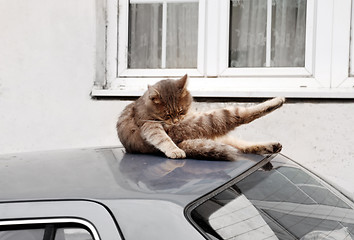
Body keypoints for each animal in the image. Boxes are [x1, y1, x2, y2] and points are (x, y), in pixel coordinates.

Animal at [117, 74, 284, 161]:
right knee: (240, 115)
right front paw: (174, 151)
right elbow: (161, 138)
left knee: (241, 146)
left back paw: (270, 146)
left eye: (181, 111)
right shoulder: (148, 124)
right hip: (209, 119)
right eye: (168, 115)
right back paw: (277, 101)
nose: (176, 121)